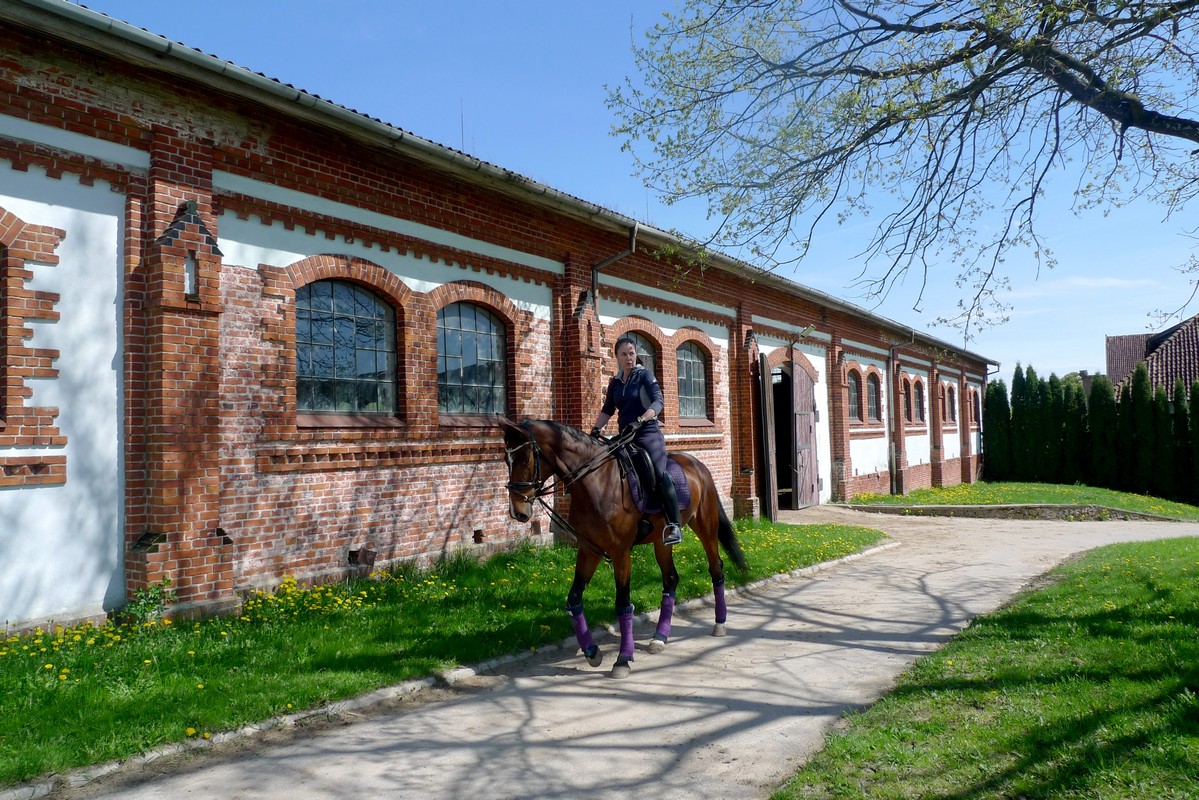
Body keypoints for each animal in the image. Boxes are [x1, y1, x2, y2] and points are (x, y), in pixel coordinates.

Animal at [493, 417, 738, 681]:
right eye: (506, 459)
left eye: (524, 459)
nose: (517, 511)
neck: (596, 483)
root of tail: (697, 464)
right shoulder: (589, 550)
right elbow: (574, 598)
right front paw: (592, 652)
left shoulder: (621, 553)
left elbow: (623, 603)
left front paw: (623, 659)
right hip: (661, 542)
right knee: (671, 579)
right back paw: (659, 638)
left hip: (706, 527)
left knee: (716, 569)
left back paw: (719, 624)